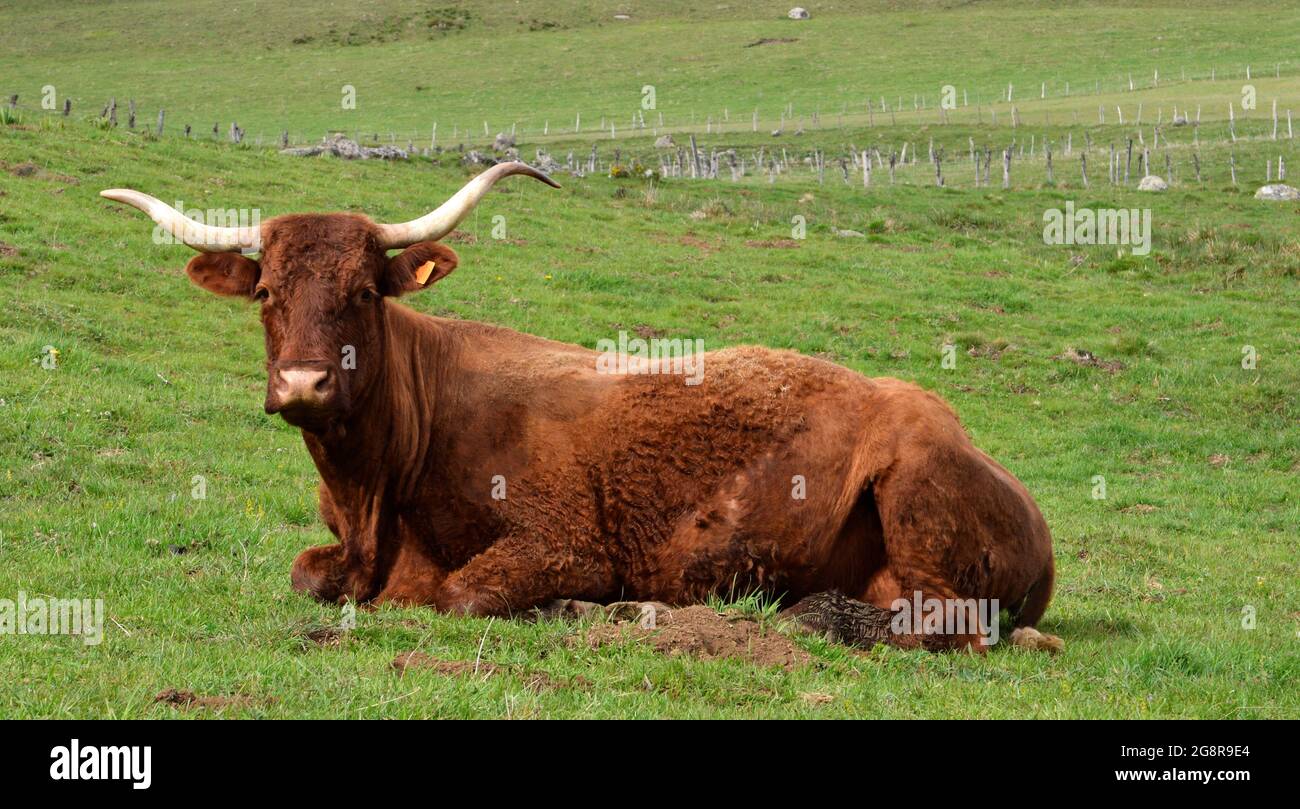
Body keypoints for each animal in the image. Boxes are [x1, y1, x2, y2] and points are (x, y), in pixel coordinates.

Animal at [101, 165, 1055, 652]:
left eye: (364, 292)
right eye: (266, 292)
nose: (303, 384)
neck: (375, 488)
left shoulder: (563, 541)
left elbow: (459, 592)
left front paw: (574, 610)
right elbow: (308, 573)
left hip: (913, 486)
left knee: (945, 622)